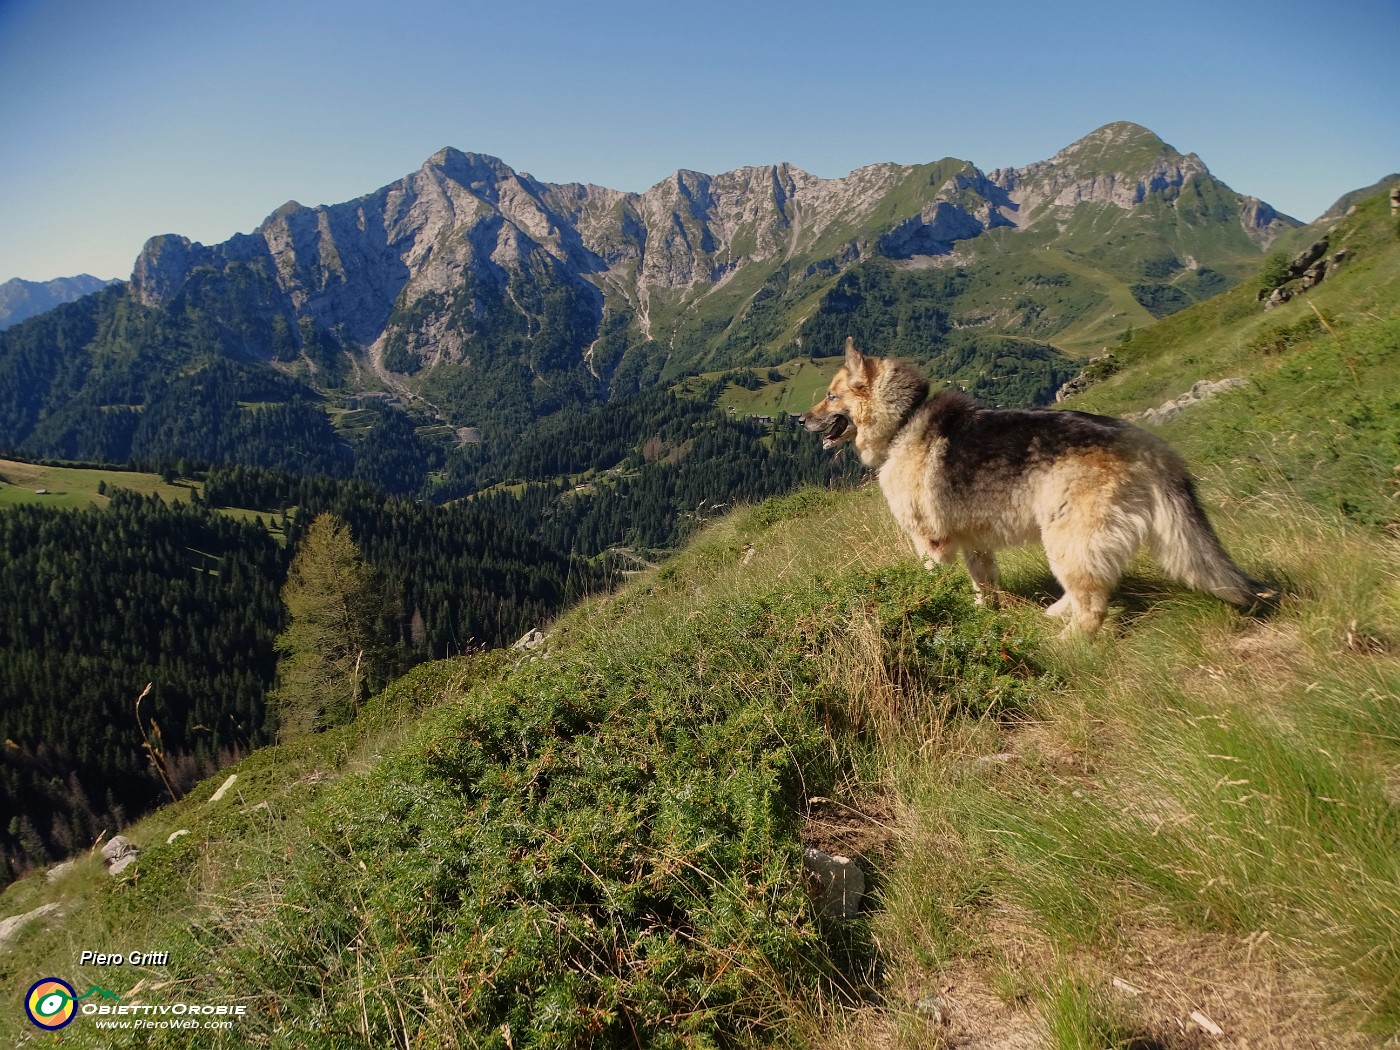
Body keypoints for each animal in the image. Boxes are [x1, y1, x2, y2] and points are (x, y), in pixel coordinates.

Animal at [806, 338, 1276, 632]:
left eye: (831, 396)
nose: (799, 420)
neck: (902, 422)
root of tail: (1143, 444)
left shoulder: (931, 544)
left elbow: (931, 582)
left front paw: (931, 607)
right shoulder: (975, 543)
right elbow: (983, 585)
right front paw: (981, 612)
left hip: (1067, 537)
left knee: (1092, 606)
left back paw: (1065, 645)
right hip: (1075, 539)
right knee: (1088, 589)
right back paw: (1054, 615)